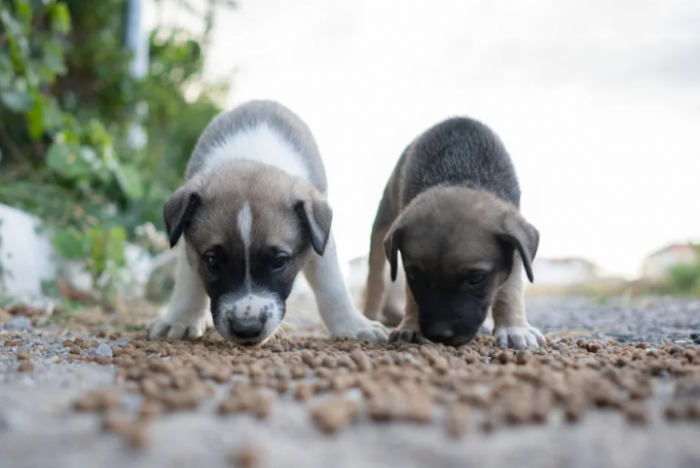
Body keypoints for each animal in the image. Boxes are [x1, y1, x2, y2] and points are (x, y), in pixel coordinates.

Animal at [149, 100, 388, 346]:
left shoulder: (321, 241)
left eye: (279, 261)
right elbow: (188, 283)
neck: (252, 157)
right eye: (213, 261)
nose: (246, 329)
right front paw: (179, 320)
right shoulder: (190, 245)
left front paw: (353, 325)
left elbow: (332, 286)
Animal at [364, 115, 544, 350]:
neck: (459, 176)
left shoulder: (513, 249)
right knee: (376, 277)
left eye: (476, 278)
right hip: (384, 220)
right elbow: (411, 295)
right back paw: (369, 316)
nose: (439, 335)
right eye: (414, 275)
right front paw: (409, 326)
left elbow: (510, 290)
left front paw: (514, 327)